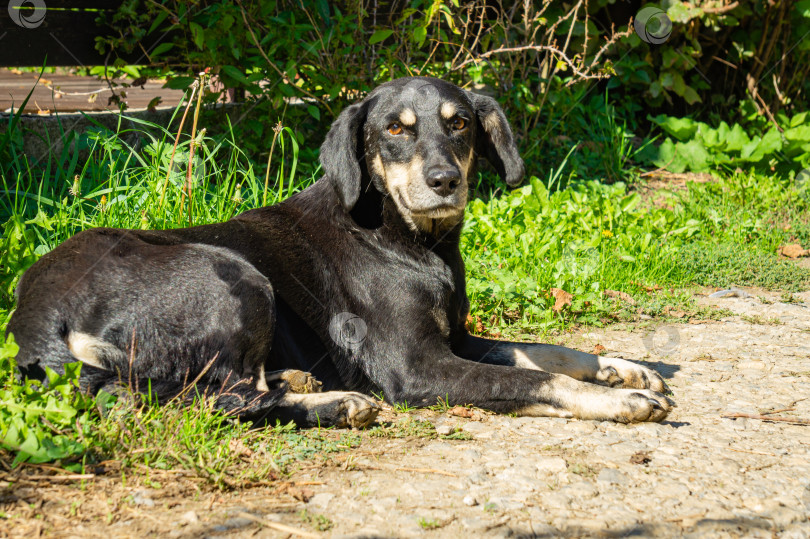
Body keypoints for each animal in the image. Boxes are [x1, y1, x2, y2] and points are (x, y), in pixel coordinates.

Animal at [7, 78, 668, 428]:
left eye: (459, 124)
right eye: (395, 130)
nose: (444, 181)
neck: (408, 239)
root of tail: (36, 315)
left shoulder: (457, 340)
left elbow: (547, 352)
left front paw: (623, 367)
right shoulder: (417, 367)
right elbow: (535, 380)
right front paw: (619, 399)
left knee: (215, 389)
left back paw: (296, 378)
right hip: (235, 274)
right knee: (218, 401)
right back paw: (336, 401)